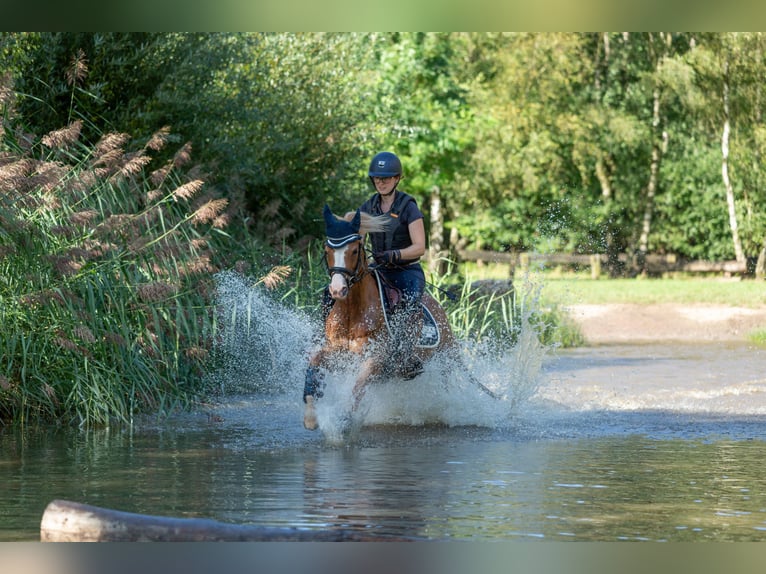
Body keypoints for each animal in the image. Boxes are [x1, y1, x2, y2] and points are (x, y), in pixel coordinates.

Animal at [304, 207, 462, 432]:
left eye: (355, 250)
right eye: (327, 251)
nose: (337, 290)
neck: (353, 311)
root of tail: (440, 310)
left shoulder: (376, 358)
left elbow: (358, 385)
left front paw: (345, 419)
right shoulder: (337, 352)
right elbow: (314, 363)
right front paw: (310, 417)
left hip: (445, 362)